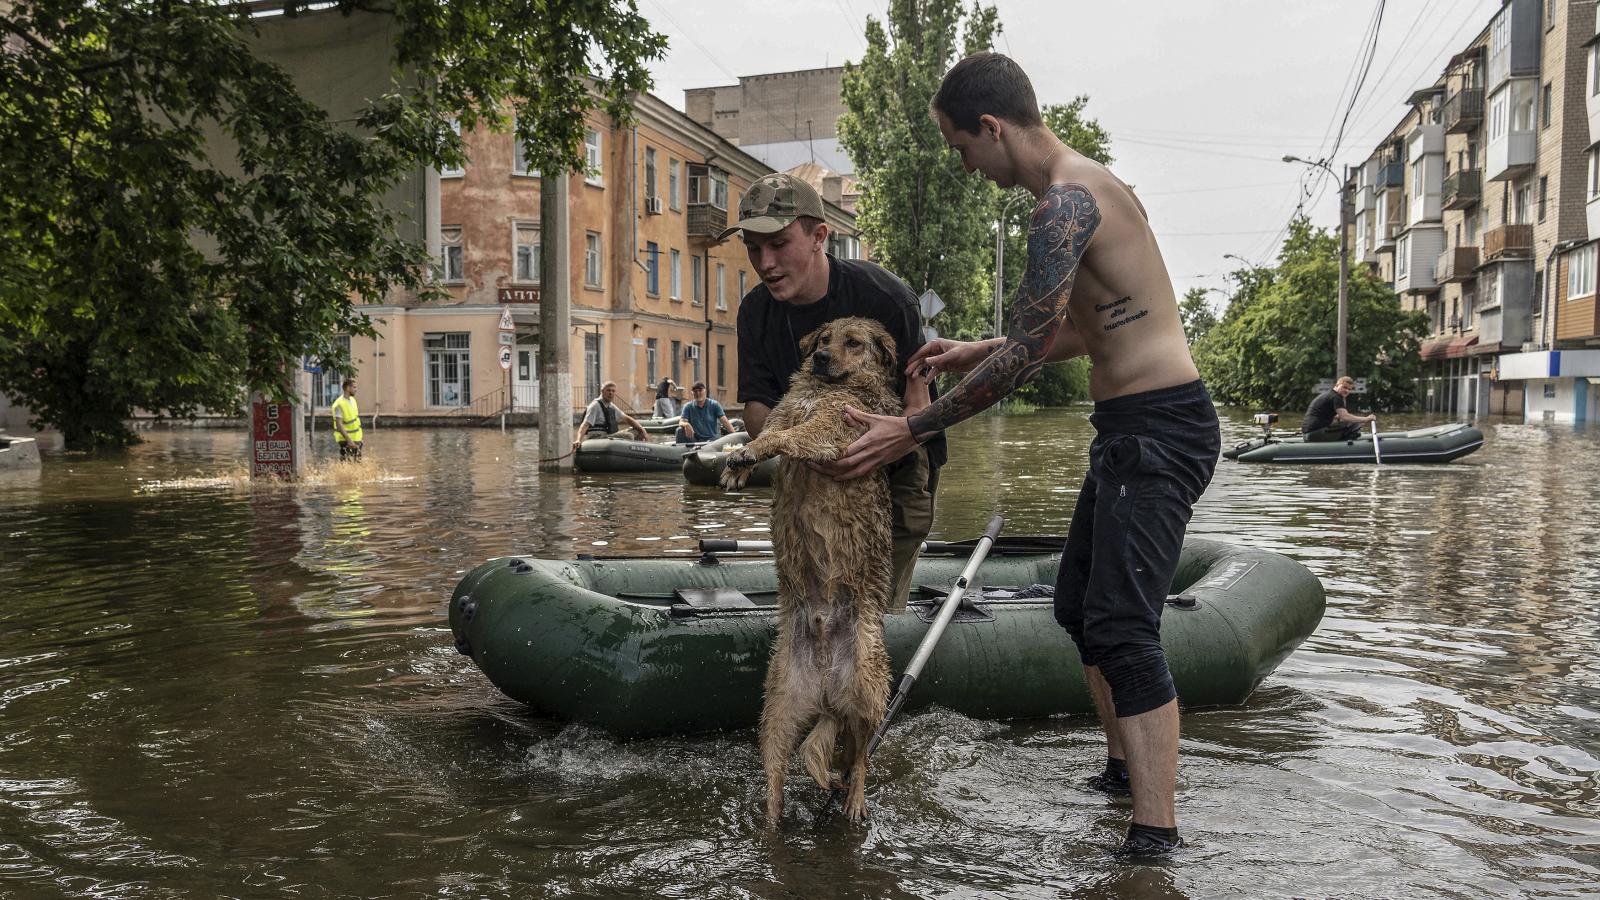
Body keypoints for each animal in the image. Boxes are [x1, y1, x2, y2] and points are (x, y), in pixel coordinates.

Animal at [723, 318, 908, 826]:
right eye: (824, 339)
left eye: (854, 342)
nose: (821, 358)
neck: (824, 387)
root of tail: (827, 691)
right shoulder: (785, 412)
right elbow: (767, 430)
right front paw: (739, 462)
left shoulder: (830, 428)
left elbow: (787, 437)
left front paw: (750, 454)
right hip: (778, 709)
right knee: (781, 771)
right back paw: (772, 818)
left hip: (868, 686)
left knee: (860, 756)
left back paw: (853, 798)